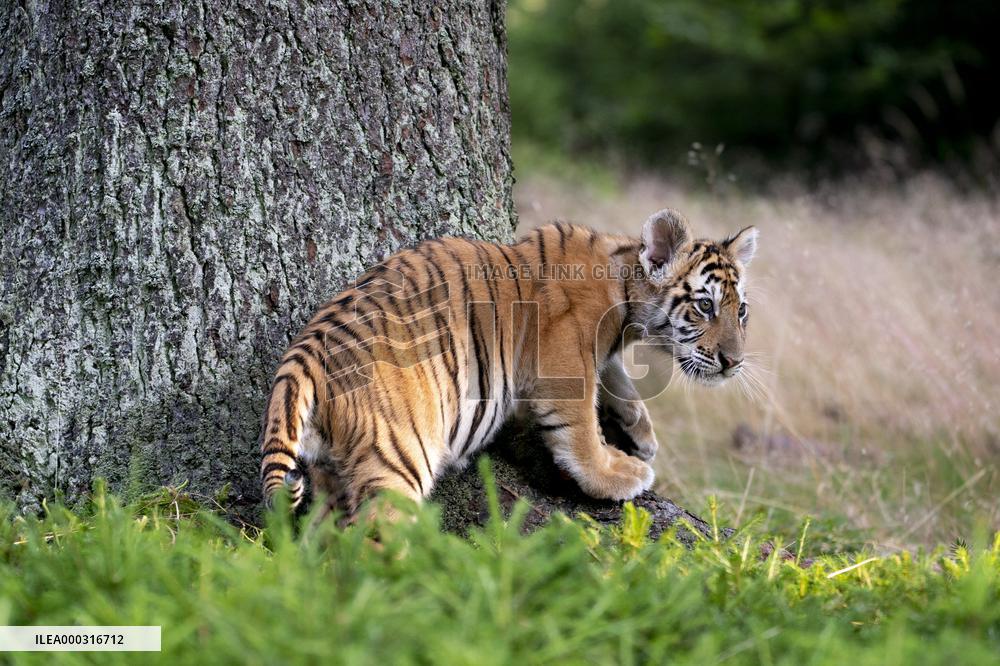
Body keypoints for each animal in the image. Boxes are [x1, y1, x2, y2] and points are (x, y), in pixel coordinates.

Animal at [259, 208, 758, 519]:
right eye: (706, 306)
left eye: (741, 311)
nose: (733, 362)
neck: (625, 293)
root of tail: (305, 353)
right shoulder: (563, 366)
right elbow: (580, 429)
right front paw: (616, 475)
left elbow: (617, 378)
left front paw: (642, 434)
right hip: (397, 452)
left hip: (331, 473)